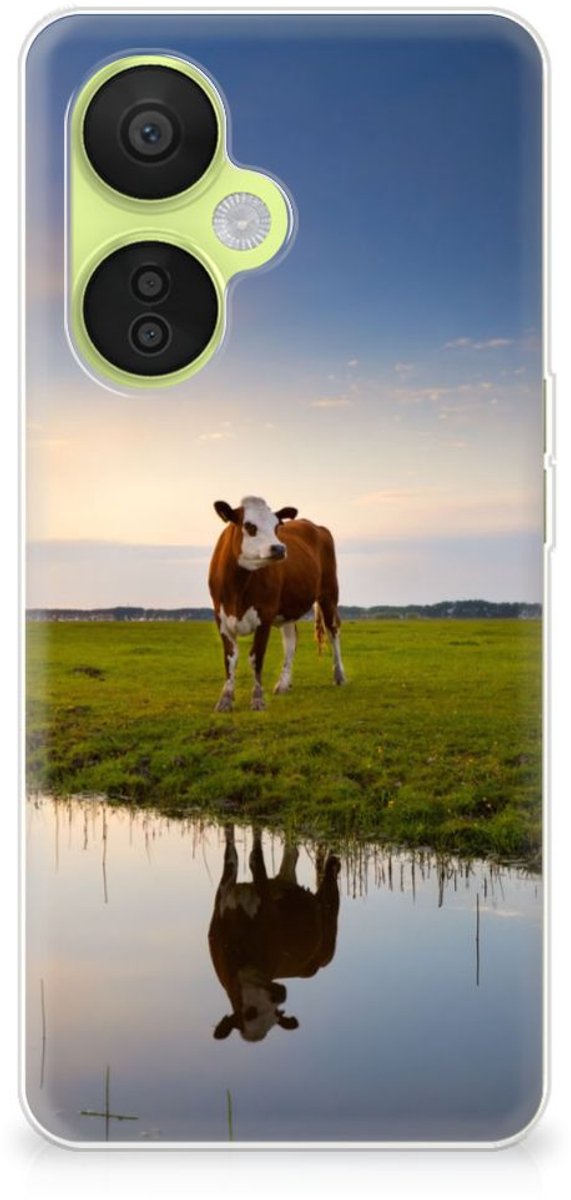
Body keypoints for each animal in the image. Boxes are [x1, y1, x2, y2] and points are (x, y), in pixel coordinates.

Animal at [208, 495, 346, 711]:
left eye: (276, 526)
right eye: (249, 526)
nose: (280, 548)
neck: (237, 587)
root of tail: (315, 525)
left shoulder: (264, 615)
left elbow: (256, 657)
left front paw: (257, 699)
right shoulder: (221, 618)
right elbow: (230, 658)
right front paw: (225, 699)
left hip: (329, 594)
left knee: (333, 631)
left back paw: (339, 675)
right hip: (288, 609)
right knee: (291, 641)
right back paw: (283, 684)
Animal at [208, 825, 341, 1042]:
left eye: (275, 1014)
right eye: (249, 1013)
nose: (281, 995)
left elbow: (255, 857)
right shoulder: (224, 894)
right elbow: (231, 853)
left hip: (329, 928)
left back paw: (333, 862)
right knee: (292, 854)